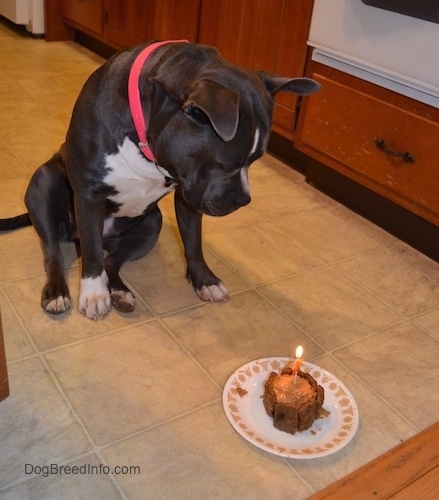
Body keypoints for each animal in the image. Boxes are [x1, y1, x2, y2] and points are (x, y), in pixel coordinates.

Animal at [0, 40, 320, 320]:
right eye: (226, 162)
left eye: (255, 160)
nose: (243, 200)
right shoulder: (89, 195)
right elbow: (90, 254)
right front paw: (93, 295)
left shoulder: (188, 196)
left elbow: (193, 241)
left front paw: (205, 281)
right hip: (43, 184)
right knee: (55, 251)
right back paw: (58, 292)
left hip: (150, 224)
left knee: (111, 261)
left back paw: (120, 292)